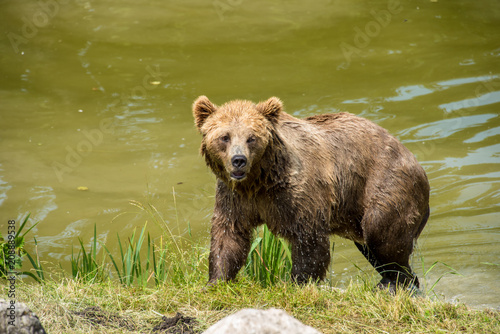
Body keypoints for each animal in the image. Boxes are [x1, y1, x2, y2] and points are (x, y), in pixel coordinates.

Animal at [191, 95, 430, 288]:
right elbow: (229, 235)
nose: (238, 160)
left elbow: (309, 240)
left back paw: (393, 282)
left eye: (252, 137)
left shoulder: (298, 194)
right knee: (371, 248)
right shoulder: (234, 198)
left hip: (386, 183)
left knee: (381, 233)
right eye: (224, 137)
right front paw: (215, 281)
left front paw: (296, 282)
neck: (260, 181)